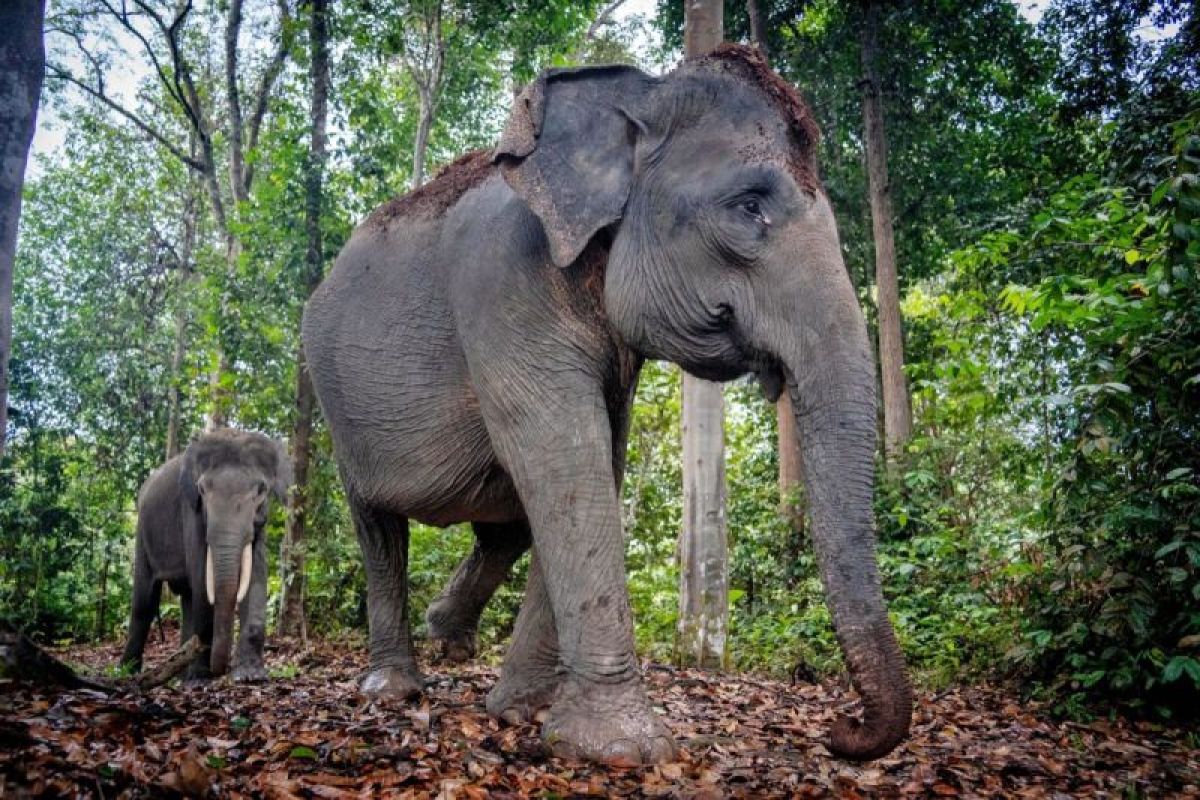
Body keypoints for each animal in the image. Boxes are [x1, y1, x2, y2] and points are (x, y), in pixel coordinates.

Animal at [119, 429, 292, 686]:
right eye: (202, 489)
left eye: (262, 489)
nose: (221, 670)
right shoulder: (191, 511)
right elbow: (202, 581)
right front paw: (200, 679)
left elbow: (256, 577)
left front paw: (251, 677)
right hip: (142, 533)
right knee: (145, 601)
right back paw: (129, 672)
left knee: (186, 597)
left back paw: (180, 673)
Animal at [302, 45, 907, 767]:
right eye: (749, 205)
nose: (841, 730)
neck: (637, 93)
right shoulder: (501, 283)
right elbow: (566, 459)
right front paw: (621, 747)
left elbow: (594, 463)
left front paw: (526, 711)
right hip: (335, 400)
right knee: (378, 528)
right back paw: (393, 687)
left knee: (505, 524)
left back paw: (448, 635)